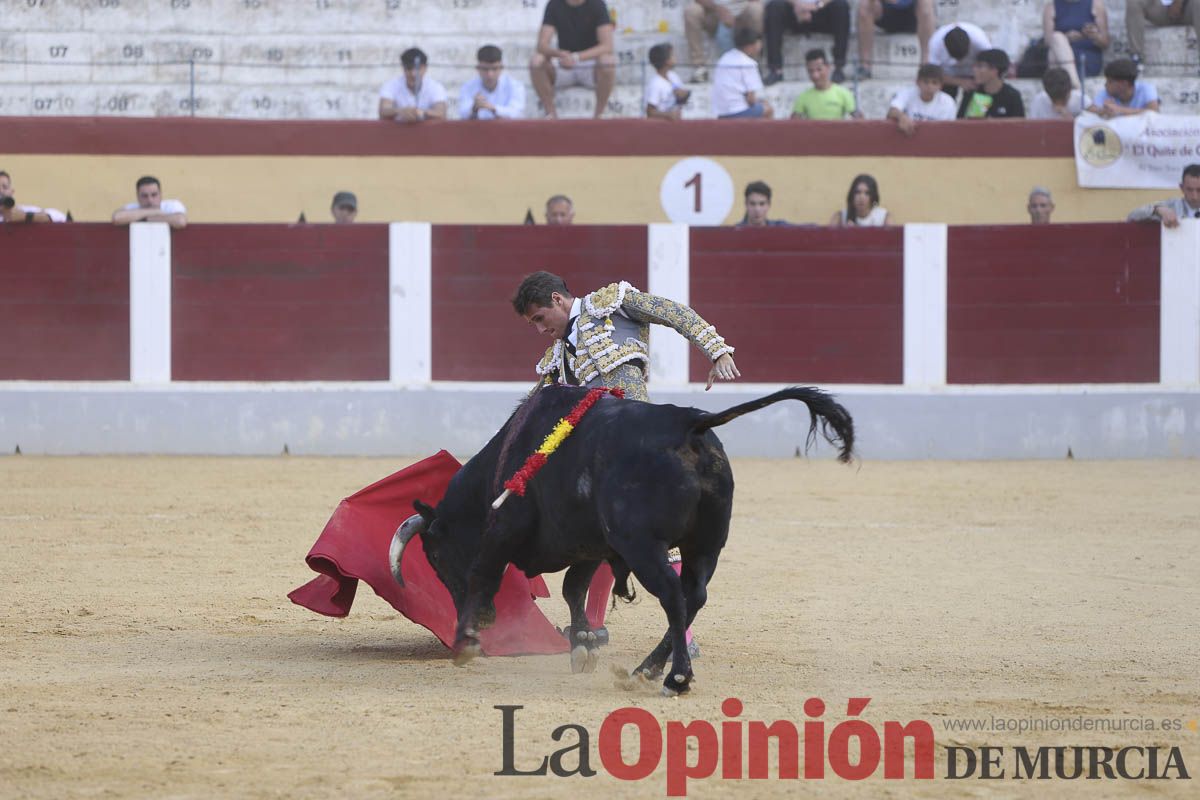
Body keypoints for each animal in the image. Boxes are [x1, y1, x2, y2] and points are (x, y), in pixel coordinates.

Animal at [386, 383, 854, 690]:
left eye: (435, 555)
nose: (482, 619)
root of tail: (690, 422)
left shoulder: (505, 528)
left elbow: (485, 573)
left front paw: (467, 639)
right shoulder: (592, 546)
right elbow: (574, 589)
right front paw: (582, 646)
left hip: (643, 545)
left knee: (673, 595)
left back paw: (676, 677)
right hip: (706, 545)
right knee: (694, 595)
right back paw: (647, 669)